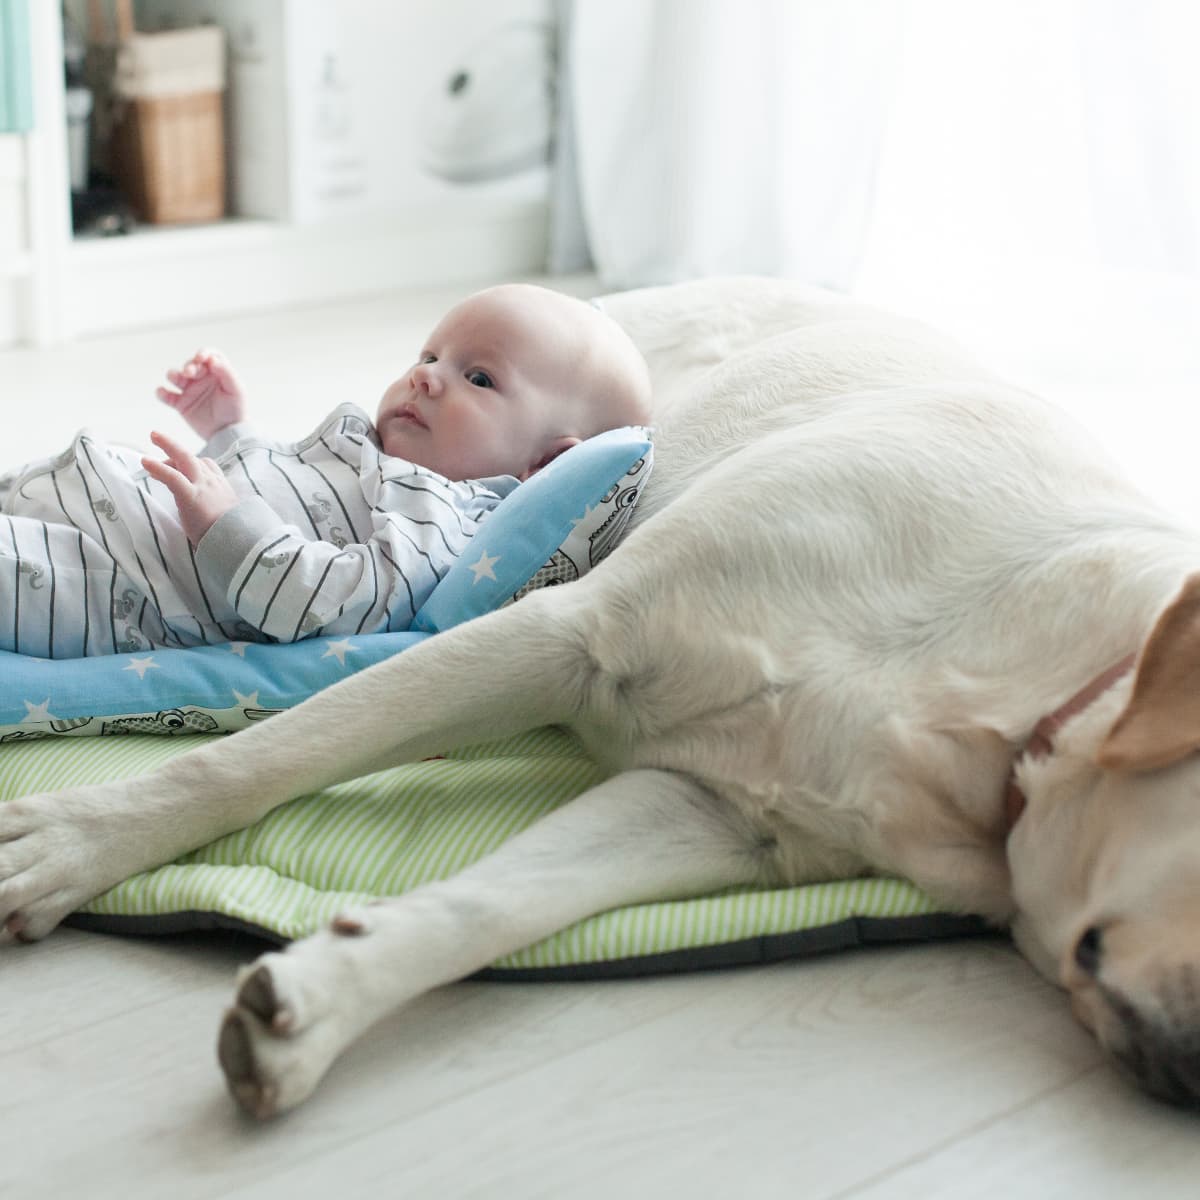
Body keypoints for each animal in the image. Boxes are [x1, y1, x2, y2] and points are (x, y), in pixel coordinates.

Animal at [2, 278, 1200, 1113]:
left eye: (485, 381)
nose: (425, 383)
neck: (1016, 700)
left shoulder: (720, 814)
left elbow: (496, 905)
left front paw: (327, 1001)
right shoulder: (559, 632)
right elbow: (256, 757)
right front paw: (72, 841)